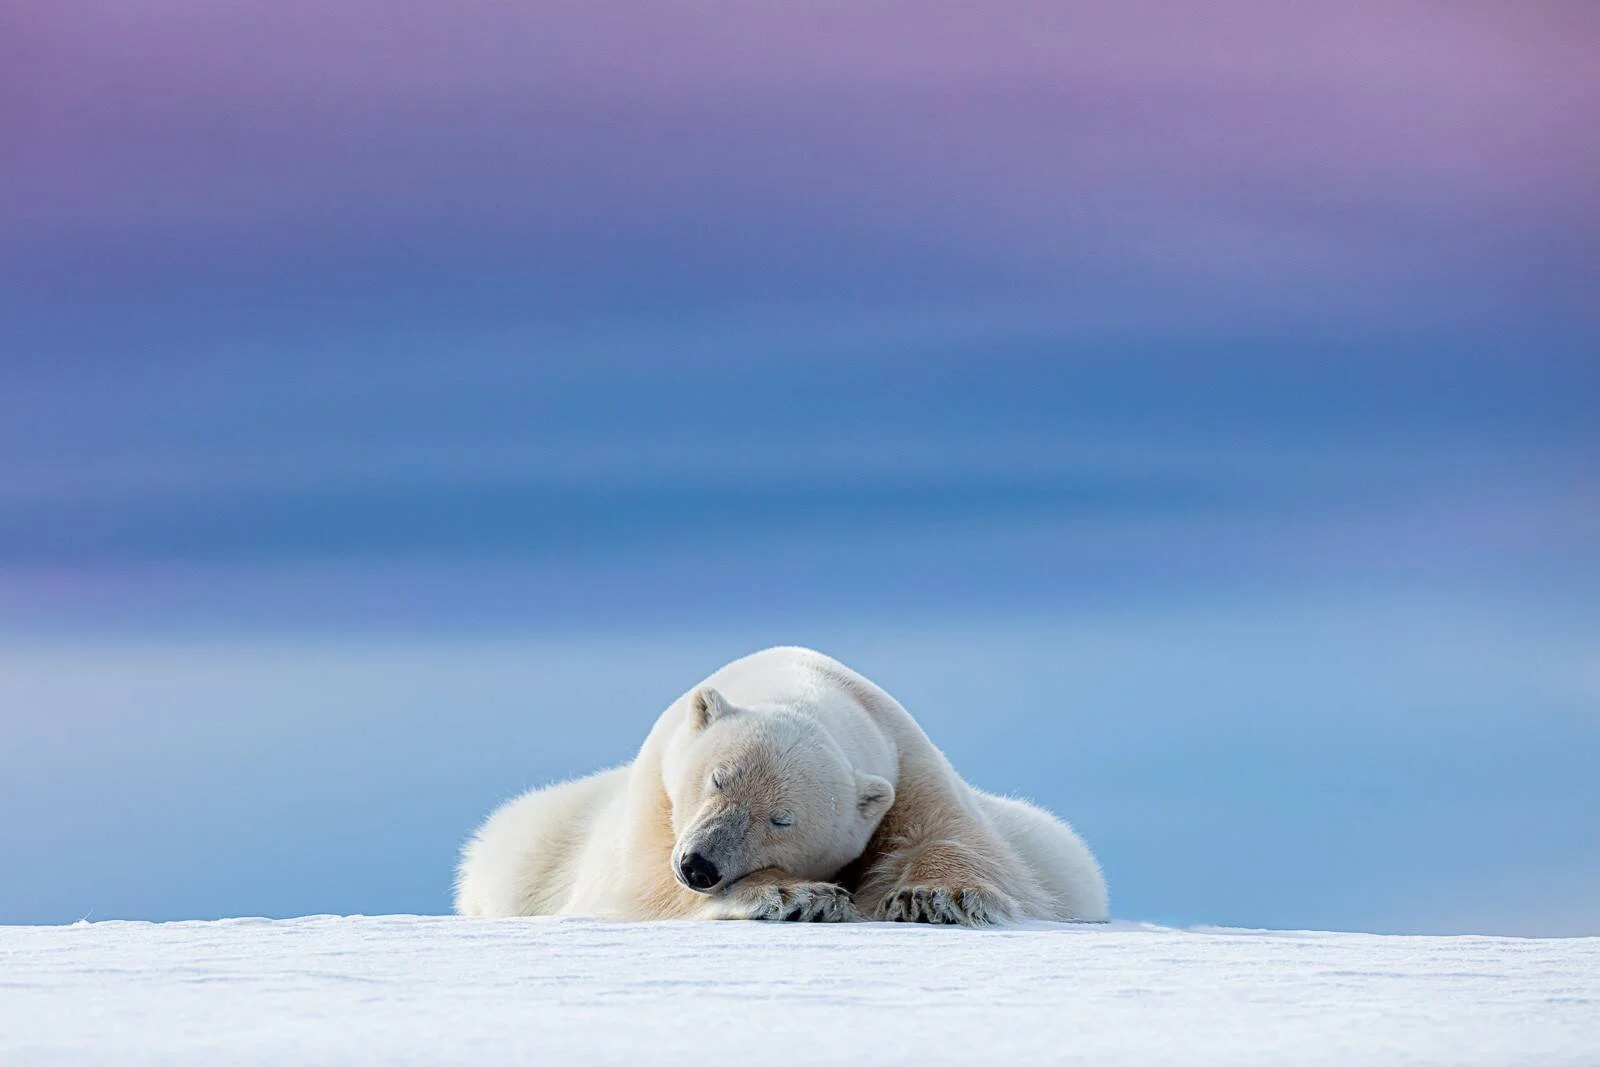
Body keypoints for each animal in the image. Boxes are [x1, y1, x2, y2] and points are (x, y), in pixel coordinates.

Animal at [454, 646, 1108, 925]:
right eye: (717, 779)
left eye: (781, 819)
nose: (699, 866)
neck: (801, 683)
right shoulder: (655, 796)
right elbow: (641, 885)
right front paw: (798, 895)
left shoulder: (908, 764)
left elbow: (965, 843)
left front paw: (929, 896)